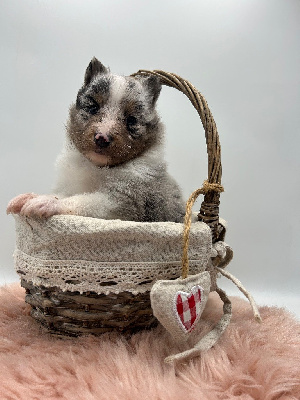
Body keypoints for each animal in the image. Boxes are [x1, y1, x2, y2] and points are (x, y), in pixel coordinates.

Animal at [7, 58, 185, 223]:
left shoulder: (126, 202)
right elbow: (64, 194)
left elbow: (84, 200)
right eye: (93, 107)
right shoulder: (71, 186)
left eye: (131, 120)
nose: (102, 138)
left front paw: (46, 202)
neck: (98, 167)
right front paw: (30, 196)